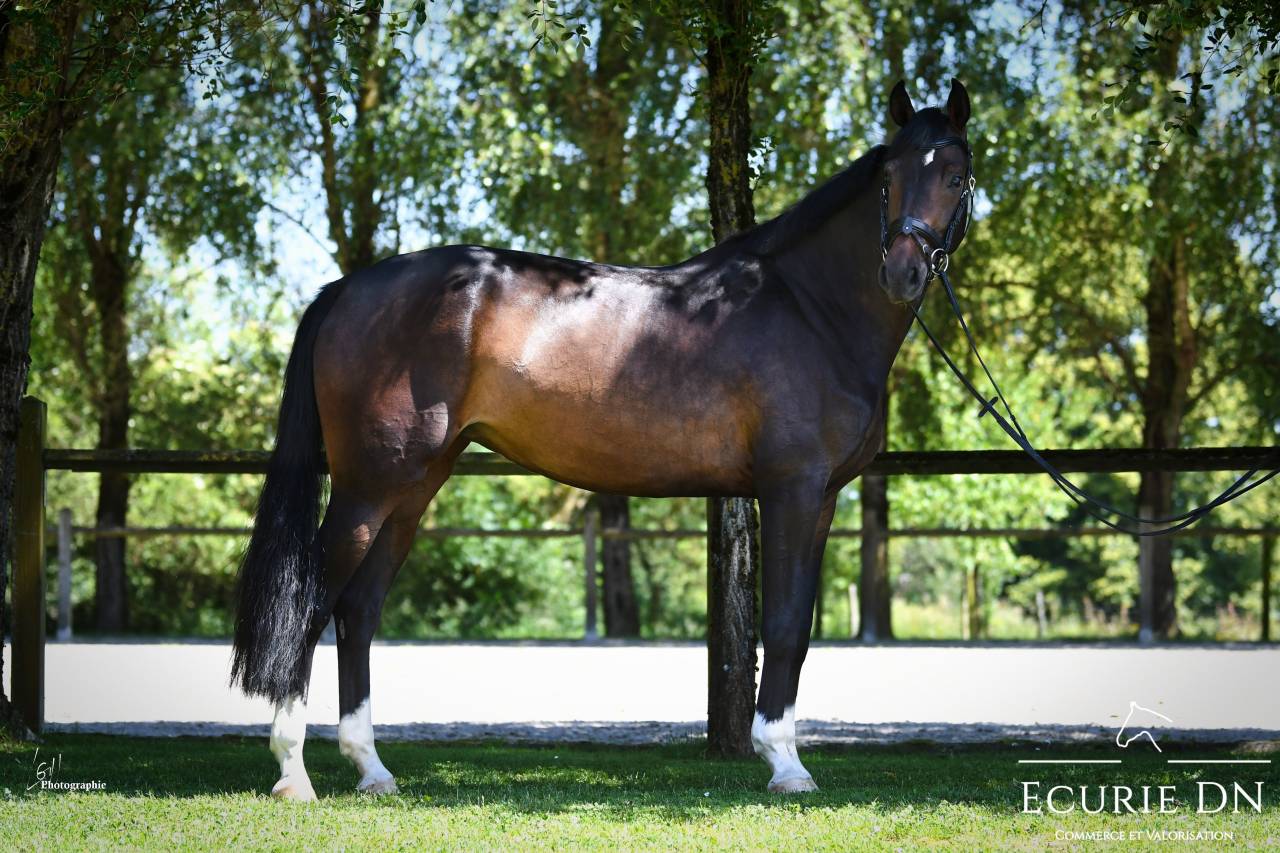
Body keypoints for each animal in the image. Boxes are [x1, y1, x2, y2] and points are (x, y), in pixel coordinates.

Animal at [231, 79, 975, 798]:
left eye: (956, 175)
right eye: (889, 177)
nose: (902, 272)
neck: (811, 308)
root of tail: (345, 289)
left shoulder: (820, 499)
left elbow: (798, 632)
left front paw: (786, 758)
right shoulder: (791, 489)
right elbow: (786, 624)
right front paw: (786, 765)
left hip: (414, 486)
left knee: (358, 609)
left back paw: (372, 769)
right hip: (368, 485)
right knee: (311, 605)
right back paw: (293, 773)